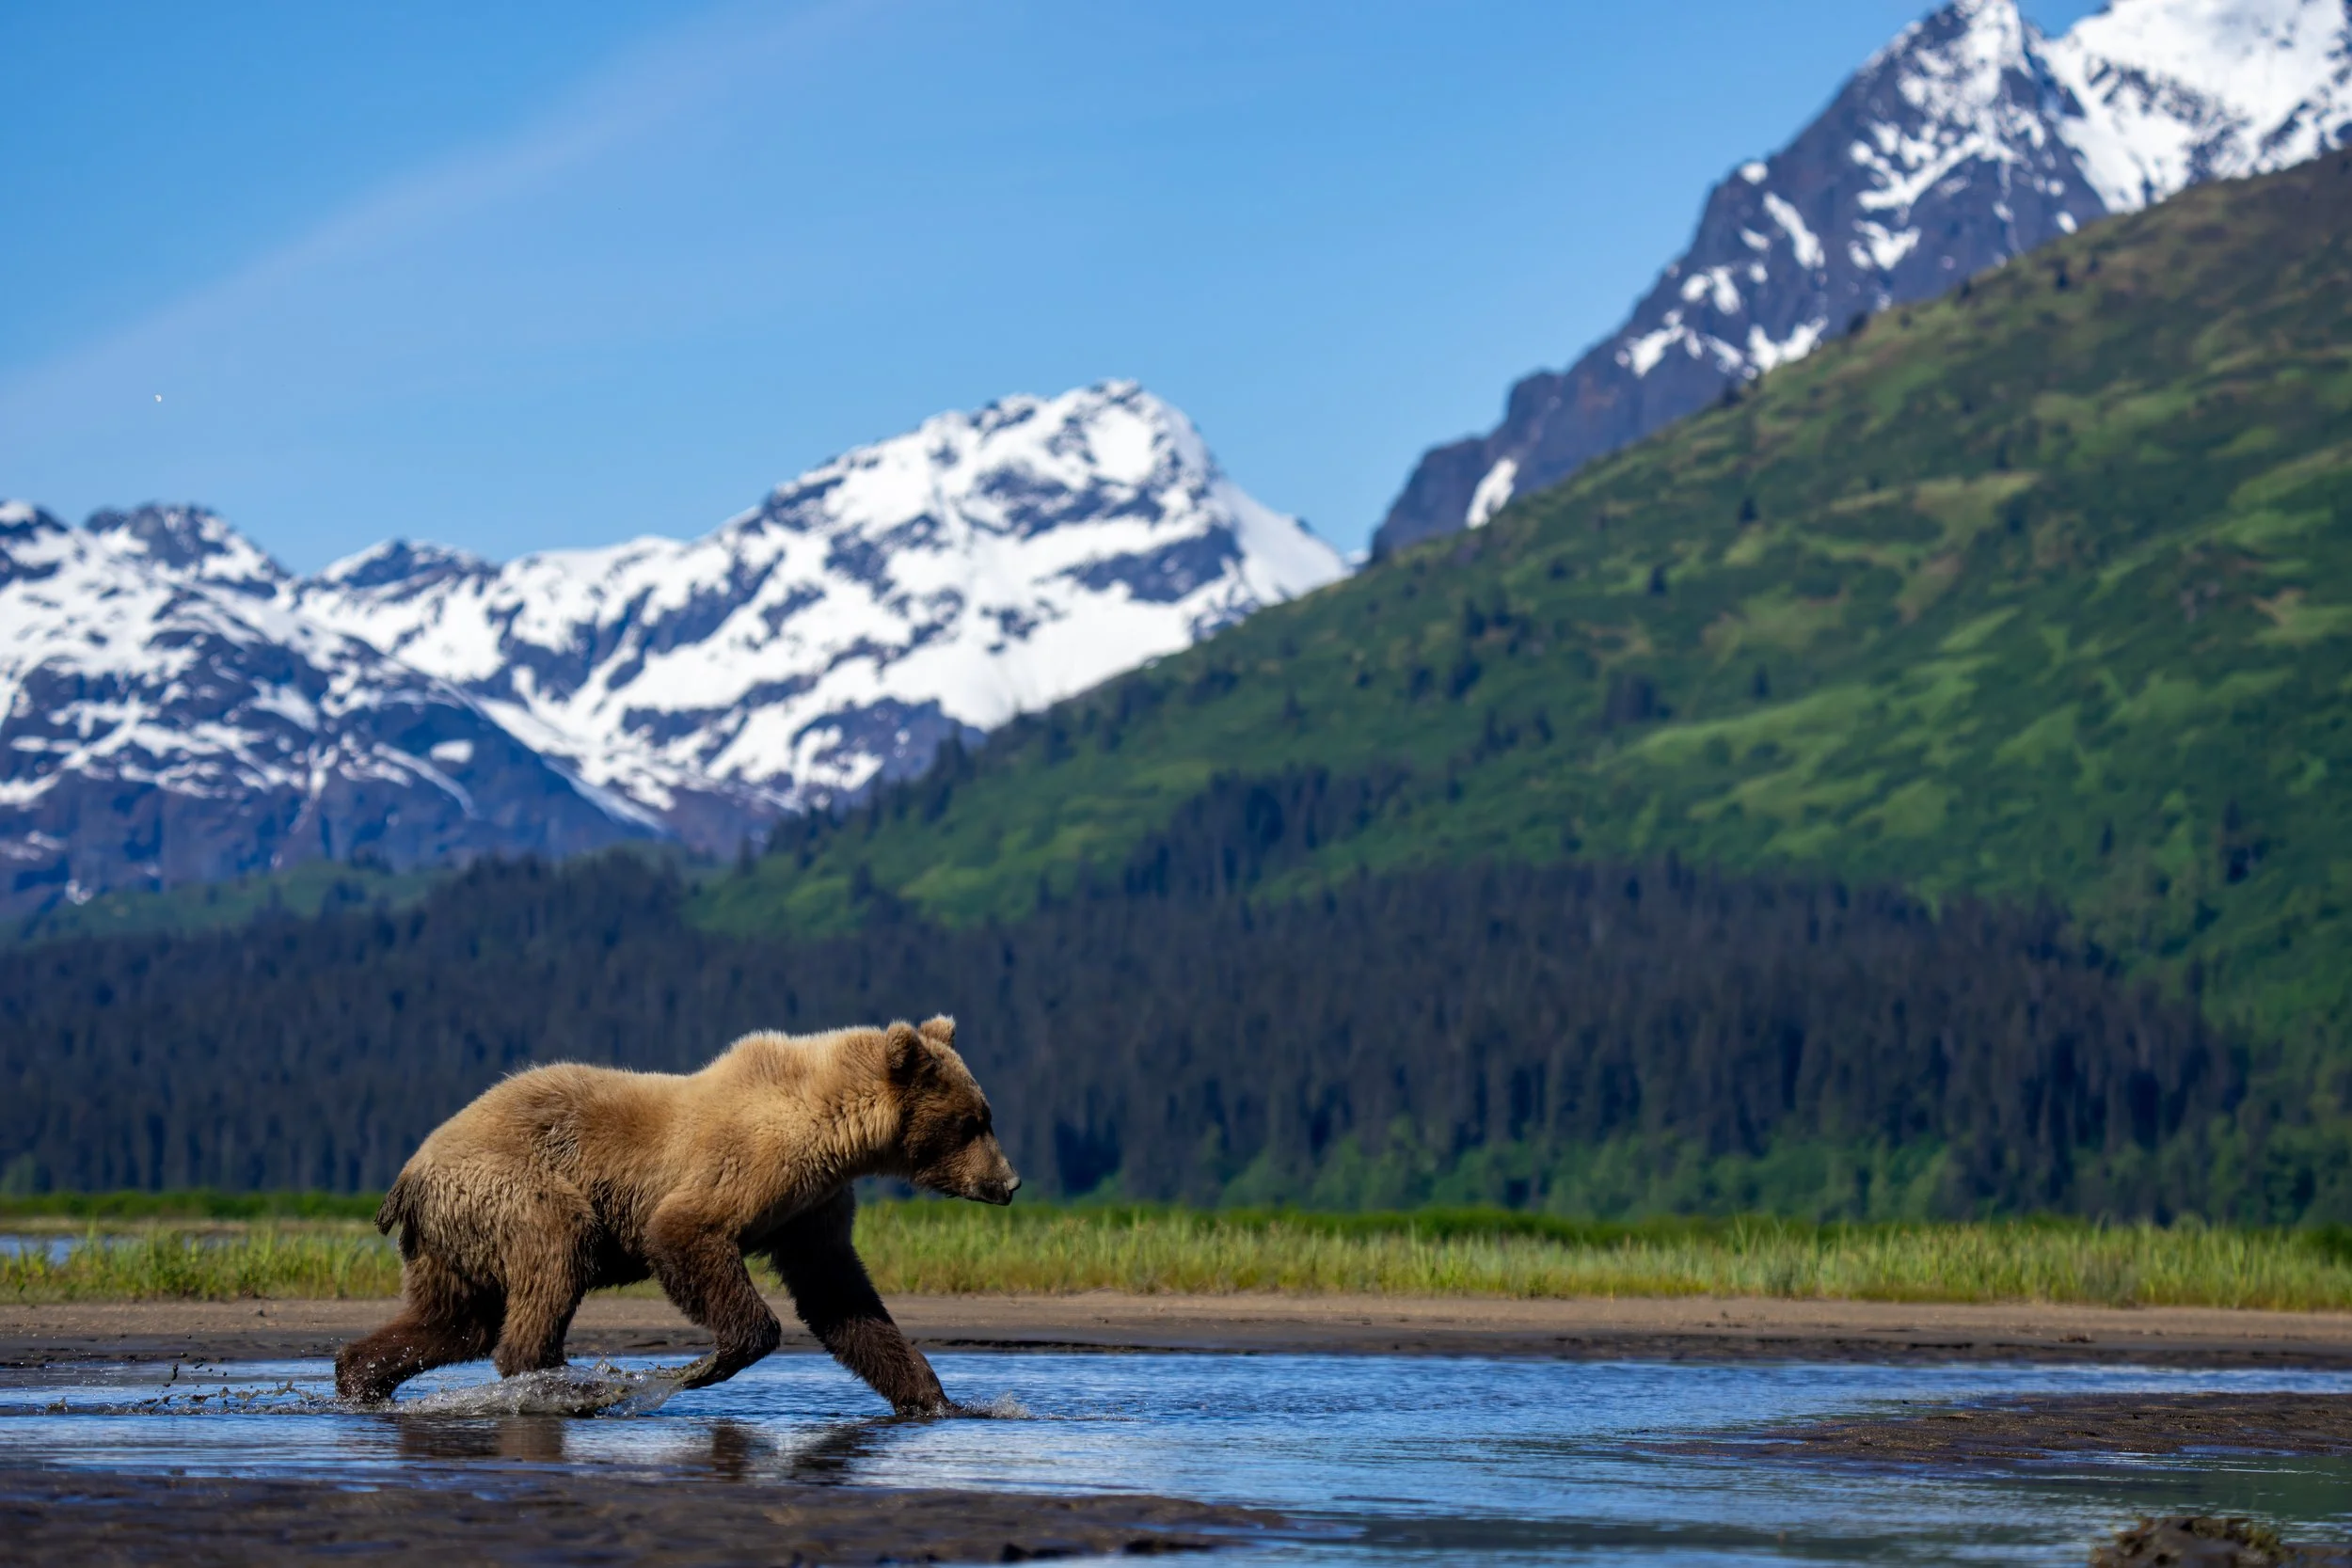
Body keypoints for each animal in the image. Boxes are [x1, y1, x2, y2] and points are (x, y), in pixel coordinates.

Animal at [334, 1015, 1017, 1412]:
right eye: (973, 1121)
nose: (1007, 1181)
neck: (833, 1132)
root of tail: (411, 1170)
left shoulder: (811, 1207)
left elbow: (842, 1298)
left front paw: (935, 1398)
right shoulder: (748, 1166)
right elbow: (684, 1232)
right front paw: (707, 1361)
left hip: (452, 1234)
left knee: (453, 1320)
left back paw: (360, 1379)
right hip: (510, 1185)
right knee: (556, 1250)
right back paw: (566, 1378)